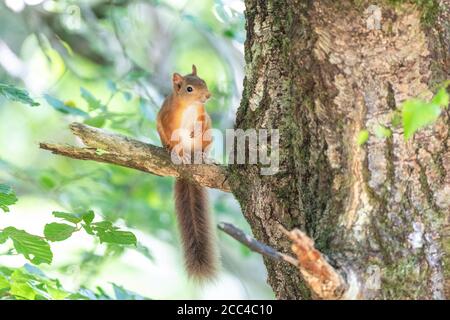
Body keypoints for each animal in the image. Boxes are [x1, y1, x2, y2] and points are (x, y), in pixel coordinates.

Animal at [156, 64, 217, 280]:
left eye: (204, 82)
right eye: (189, 89)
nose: (207, 96)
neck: (190, 107)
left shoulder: (203, 116)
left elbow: (203, 124)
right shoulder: (167, 119)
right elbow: (172, 136)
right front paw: (174, 151)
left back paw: (203, 156)